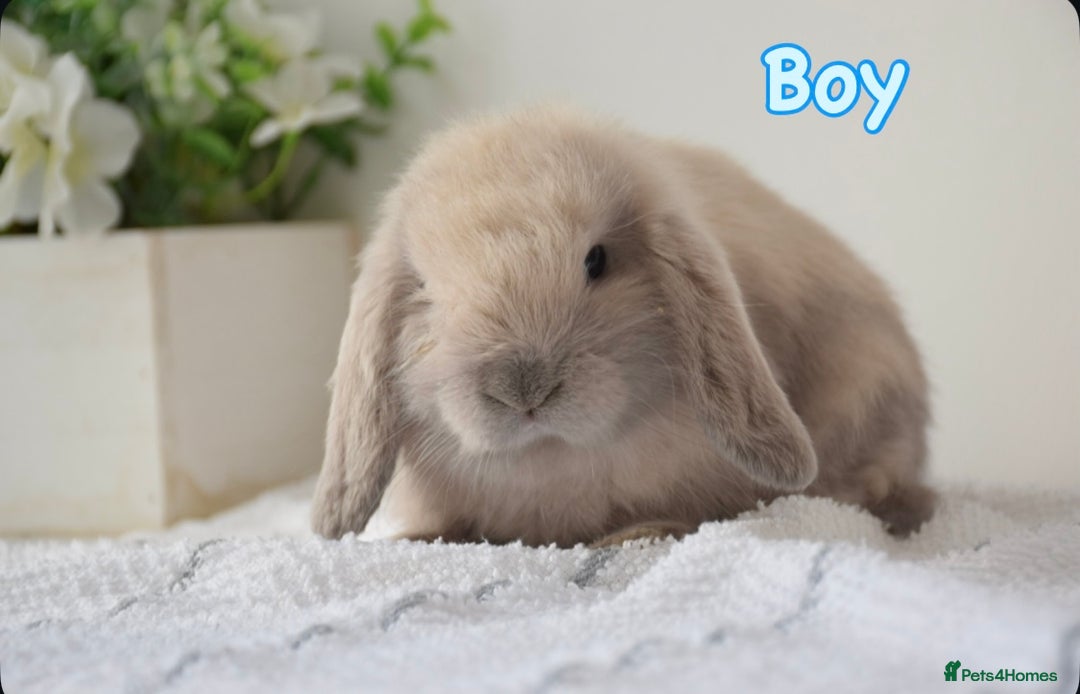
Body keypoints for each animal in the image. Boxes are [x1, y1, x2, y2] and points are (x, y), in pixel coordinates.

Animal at [311, 105, 936, 547]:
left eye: (596, 261)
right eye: (425, 289)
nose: (523, 388)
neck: (555, 458)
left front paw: (639, 532)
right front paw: (418, 537)